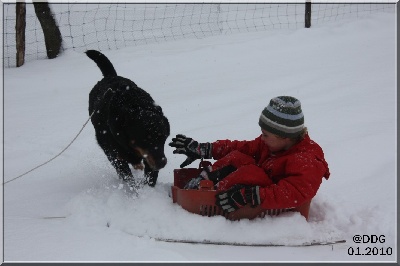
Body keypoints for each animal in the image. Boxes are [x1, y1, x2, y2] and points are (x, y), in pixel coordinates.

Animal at [86, 50, 170, 187]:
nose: (162, 163)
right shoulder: (117, 157)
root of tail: (110, 76)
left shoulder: (150, 156)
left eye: (164, 138)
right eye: (145, 139)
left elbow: (151, 177)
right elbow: (128, 178)